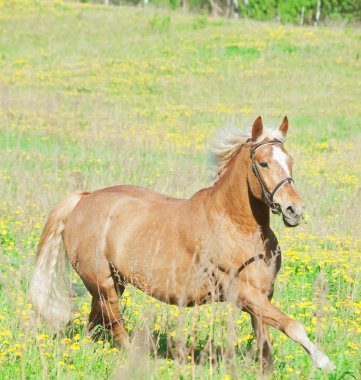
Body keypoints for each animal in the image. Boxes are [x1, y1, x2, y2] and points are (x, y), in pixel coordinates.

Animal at [28, 116, 334, 372]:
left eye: (290, 160)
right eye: (263, 163)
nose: (294, 210)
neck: (236, 226)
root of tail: (84, 198)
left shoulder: (263, 295)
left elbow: (265, 342)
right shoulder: (244, 295)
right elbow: (293, 326)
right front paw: (325, 363)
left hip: (113, 283)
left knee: (95, 323)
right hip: (103, 284)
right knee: (115, 325)